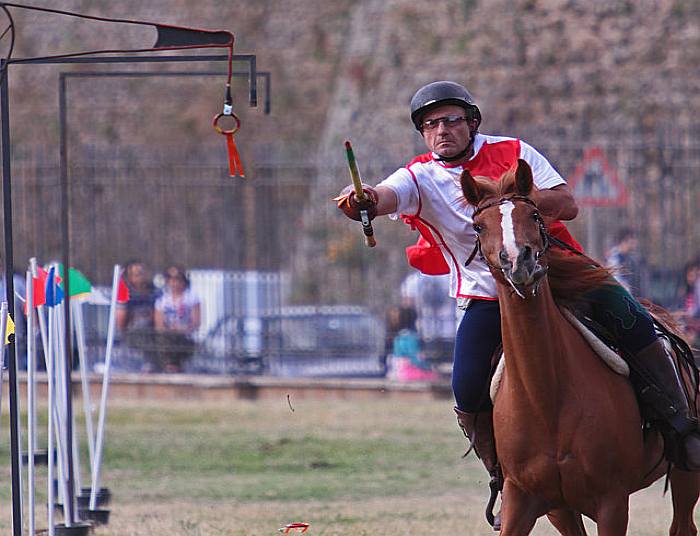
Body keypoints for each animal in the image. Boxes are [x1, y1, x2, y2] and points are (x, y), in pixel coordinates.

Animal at [460, 159, 700, 536]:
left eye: (534, 215)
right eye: (479, 226)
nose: (518, 261)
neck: (546, 397)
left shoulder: (612, 501)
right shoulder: (528, 501)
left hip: (686, 476)